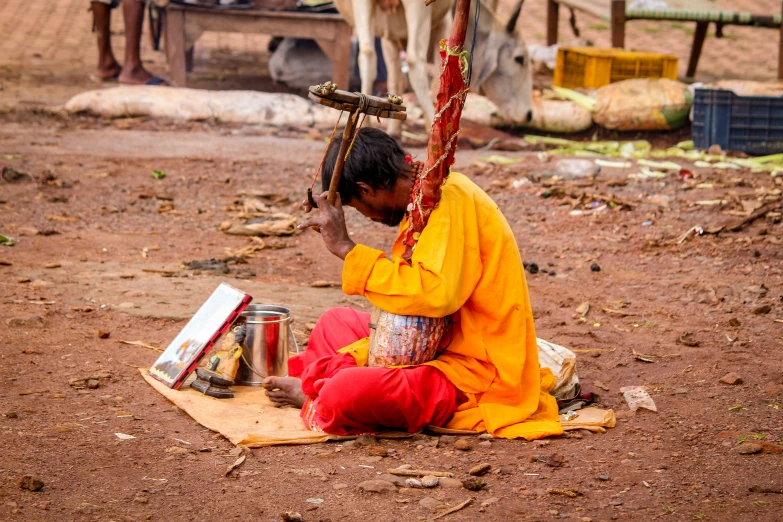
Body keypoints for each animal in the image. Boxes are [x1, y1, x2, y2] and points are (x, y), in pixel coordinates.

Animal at [332, 0, 532, 135]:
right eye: (519, 59)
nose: (529, 115)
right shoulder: (445, 22)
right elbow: (442, 70)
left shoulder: (390, 38)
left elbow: (395, 79)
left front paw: (395, 128)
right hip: (418, 7)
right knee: (414, 59)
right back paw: (432, 122)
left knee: (367, 54)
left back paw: (364, 121)